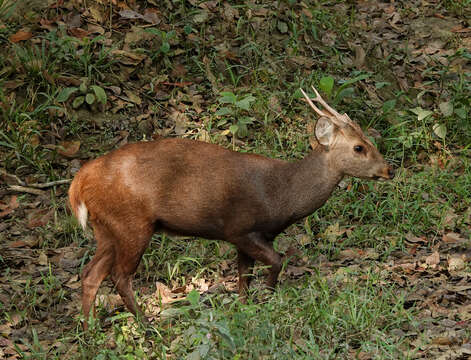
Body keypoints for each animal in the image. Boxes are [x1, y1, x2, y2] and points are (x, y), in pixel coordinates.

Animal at [68, 87, 396, 330]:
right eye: (359, 147)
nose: (389, 170)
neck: (281, 195)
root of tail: (80, 181)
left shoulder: (249, 238)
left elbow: (243, 278)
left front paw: (246, 308)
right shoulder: (240, 229)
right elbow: (276, 262)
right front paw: (269, 298)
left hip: (107, 228)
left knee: (91, 273)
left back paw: (89, 329)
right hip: (132, 223)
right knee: (119, 276)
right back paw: (145, 324)